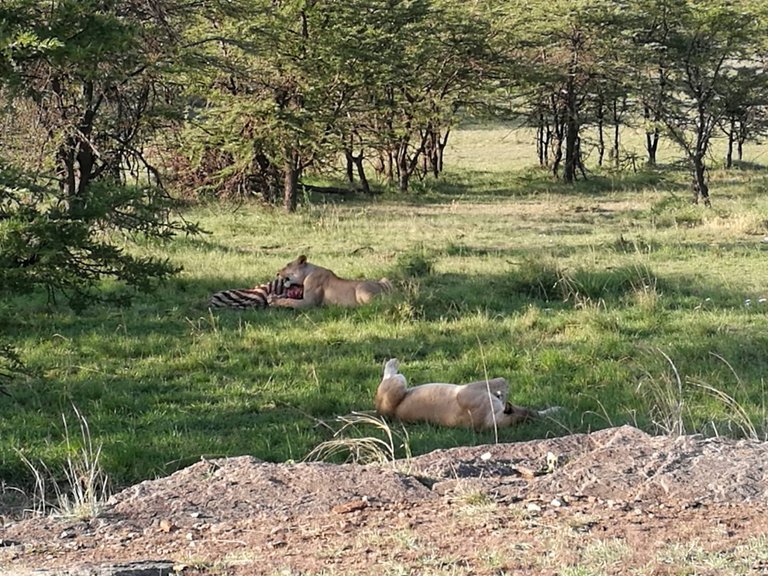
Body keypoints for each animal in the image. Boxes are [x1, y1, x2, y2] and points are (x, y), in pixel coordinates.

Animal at [374, 358, 560, 430]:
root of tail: (381, 413)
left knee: (391, 375)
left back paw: (393, 362)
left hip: (399, 383)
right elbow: (501, 381)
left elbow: (500, 380)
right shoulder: (466, 390)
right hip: (400, 384)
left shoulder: (467, 390)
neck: (490, 419)